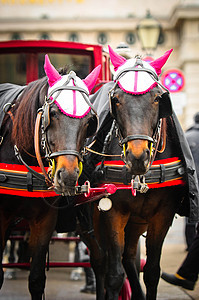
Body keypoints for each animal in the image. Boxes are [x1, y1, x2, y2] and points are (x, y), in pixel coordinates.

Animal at [78, 47, 198, 300]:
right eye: (116, 99)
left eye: (158, 97)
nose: (137, 157)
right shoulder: (112, 213)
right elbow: (114, 275)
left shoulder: (161, 215)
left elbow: (151, 272)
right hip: (88, 222)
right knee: (101, 262)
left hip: (136, 222)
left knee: (129, 259)